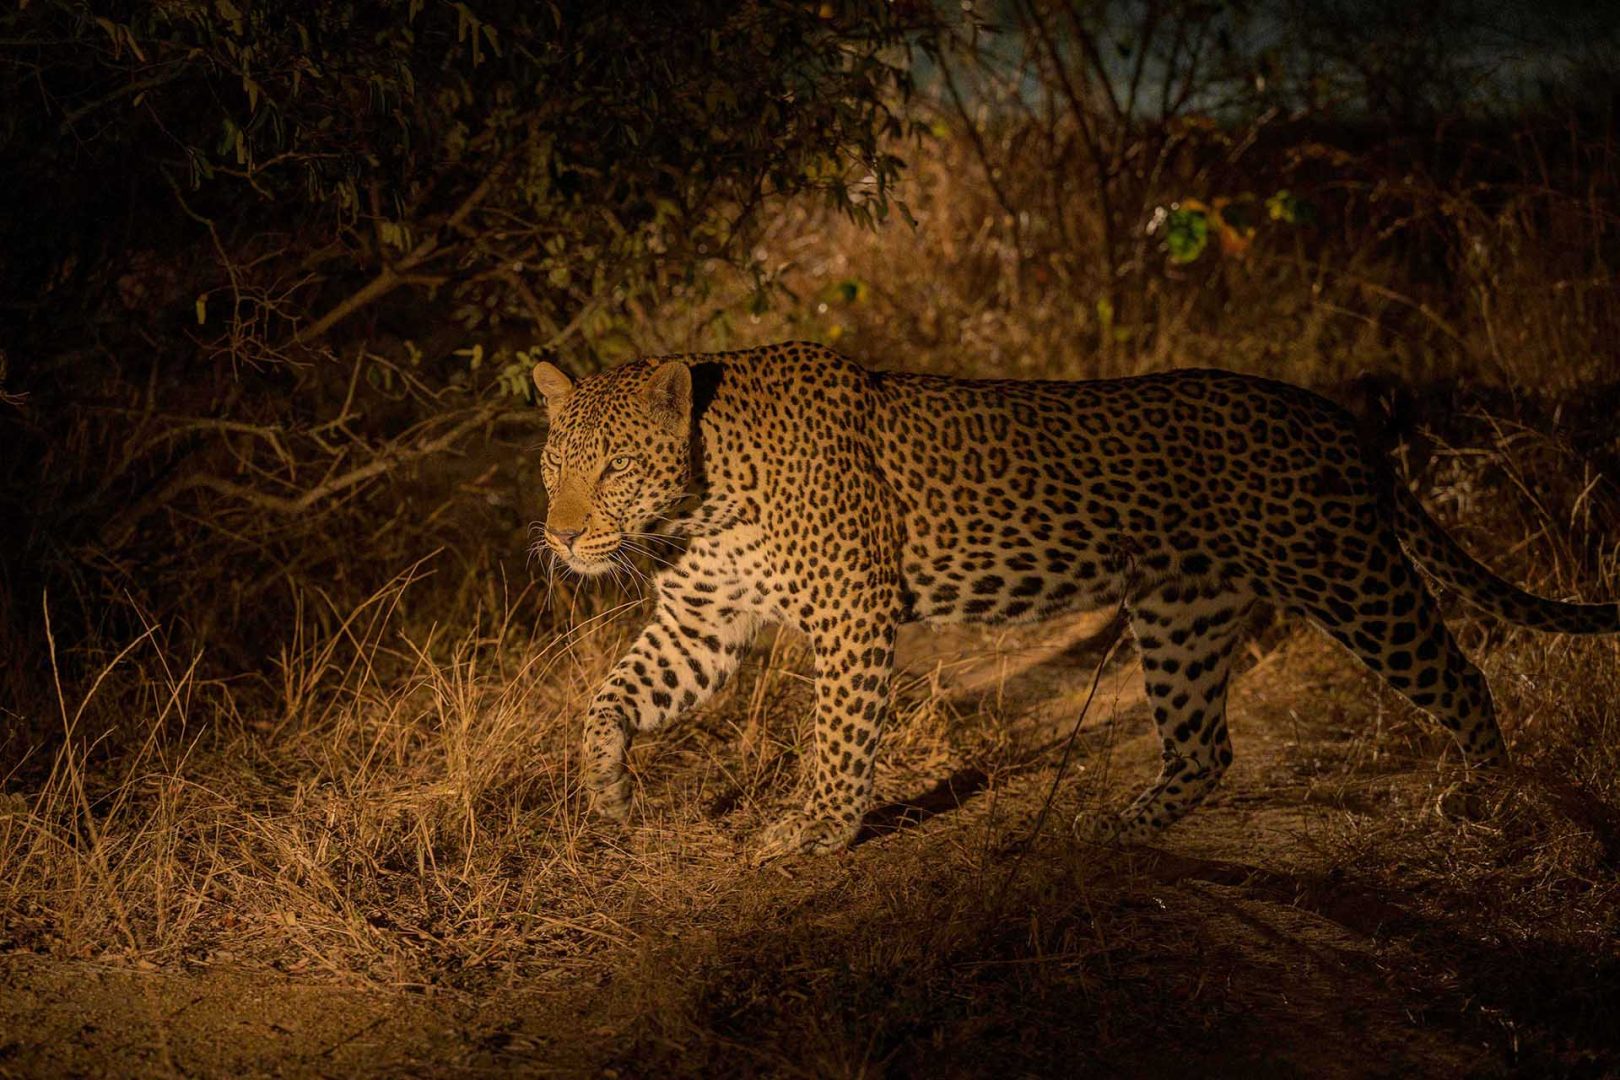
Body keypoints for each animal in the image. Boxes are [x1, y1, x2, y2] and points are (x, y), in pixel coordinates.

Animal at [534, 341, 1620, 854]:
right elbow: (613, 699)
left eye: (614, 465)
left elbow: (838, 741)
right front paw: (609, 794)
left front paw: (814, 835)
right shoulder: (701, 620)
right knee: (1204, 746)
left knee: (1462, 678)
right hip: (1184, 613)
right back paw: (1113, 830)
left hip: (1346, 573)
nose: (560, 535)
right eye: (554, 461)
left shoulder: (850, 611)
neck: (701, 490)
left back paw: (1486, 800)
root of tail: (1340, 421)